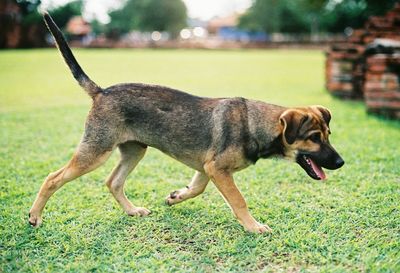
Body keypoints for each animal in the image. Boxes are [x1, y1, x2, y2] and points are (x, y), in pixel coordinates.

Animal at [29, 12, 346, 233]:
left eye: (328, 133)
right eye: (314, 138)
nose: (341, 163)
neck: (255, 124)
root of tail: (101, 91)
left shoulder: (207, 168)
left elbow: (197, 189)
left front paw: (175, 197)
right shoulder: (218, 170)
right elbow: (239, 200)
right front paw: (253, 226)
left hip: (134, 149)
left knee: (113, 181)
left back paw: (132, 211)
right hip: (96, 151)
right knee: (53, 178)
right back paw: (34, 216)